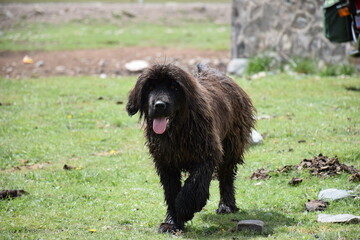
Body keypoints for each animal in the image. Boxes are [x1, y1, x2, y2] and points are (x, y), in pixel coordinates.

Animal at [126, 63, 256, 232]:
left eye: (174, 87)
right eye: (149, 87)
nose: (159, 105)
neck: (177, 131)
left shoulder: (207, 153)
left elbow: (194, 183)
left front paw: (185, 208)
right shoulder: (165, 162)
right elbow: (171, 191)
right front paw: (172, 222)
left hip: (232, 144)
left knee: (226, 175)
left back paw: (226, 205)